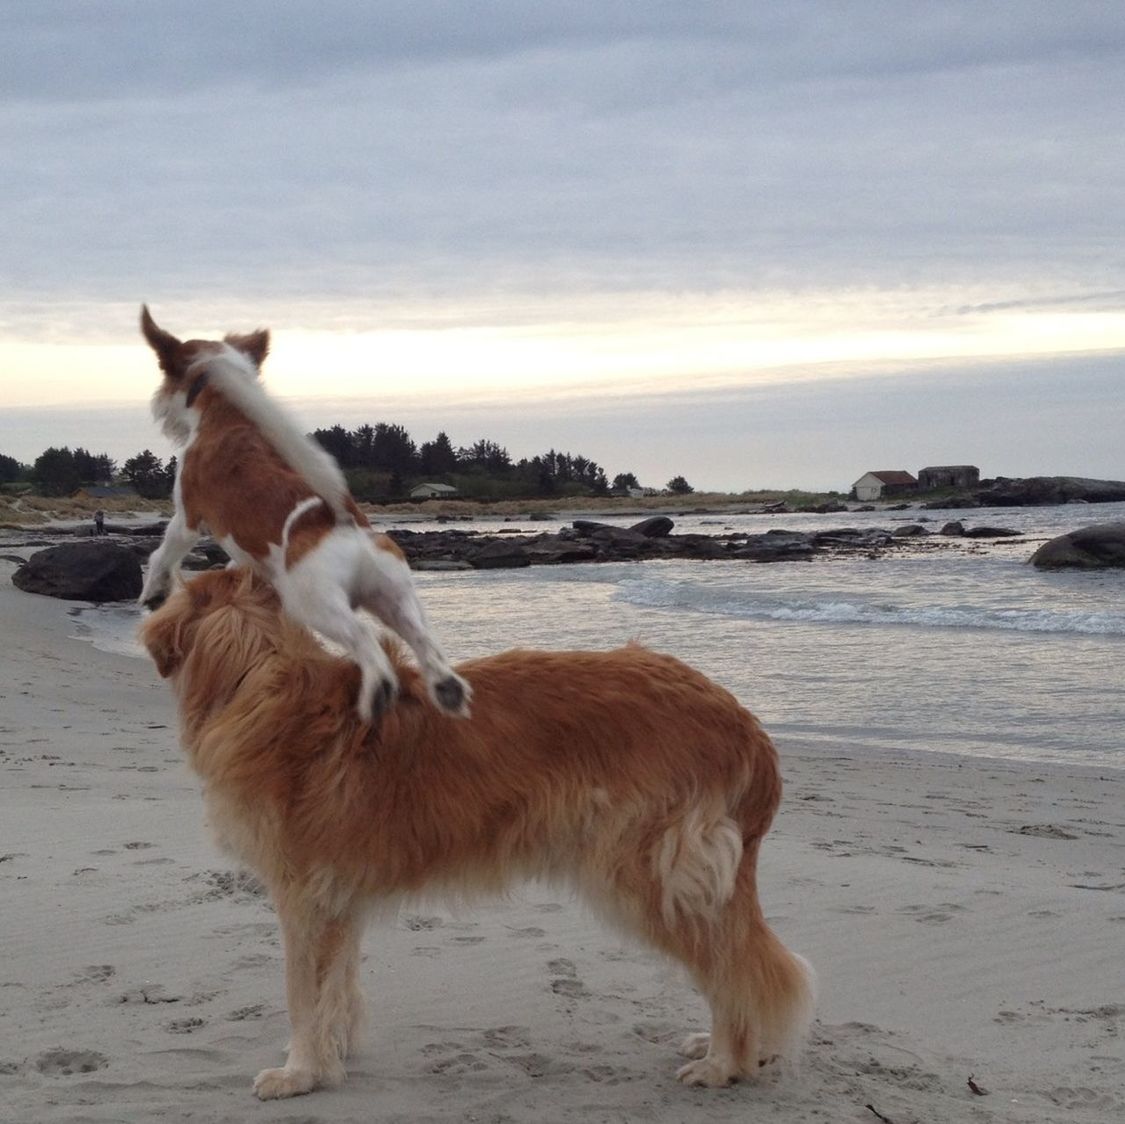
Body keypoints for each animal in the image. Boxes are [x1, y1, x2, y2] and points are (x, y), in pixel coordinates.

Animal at [138, 306, 468, 720]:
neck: (228, 410)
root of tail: (345, 522)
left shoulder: (187, 518)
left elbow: (163, 553)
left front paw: (154, 591)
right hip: (395, 598)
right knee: (427, 645)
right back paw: (446, 690)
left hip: (314, 603)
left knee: (366, 642)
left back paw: (376, 693)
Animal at [142, 571, 810, 1098]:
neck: (260, 680)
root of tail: (744, 723)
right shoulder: (340, 898)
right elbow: (339, 985)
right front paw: (336, 1050)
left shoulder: (303, 897)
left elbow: (301, 994)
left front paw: (300, 1071)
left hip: (646, 876)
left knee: (735, 965)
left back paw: (726, 1062)